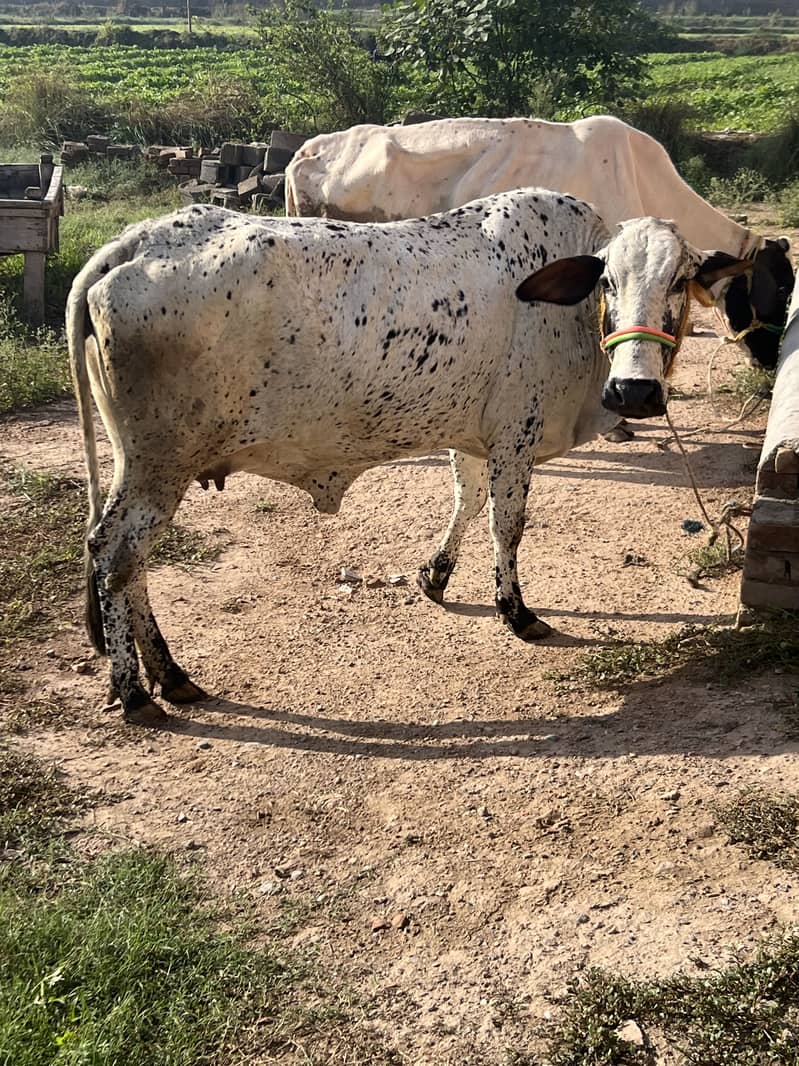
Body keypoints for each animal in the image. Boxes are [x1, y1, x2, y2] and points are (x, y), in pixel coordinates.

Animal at [67, 190, 749, 724]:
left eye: (680, 280)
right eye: (607, 279)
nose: (634, 392)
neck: (564, 312)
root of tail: (134, 242)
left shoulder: (474, 438)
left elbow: (467, 502)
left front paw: (435, 575)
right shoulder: (516, 436)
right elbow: (507, 525)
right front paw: (515, 610)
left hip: (145, 466)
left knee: (127, 563)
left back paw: (170, 676)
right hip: (159, 467)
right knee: (115, 555)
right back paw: (136, 691)